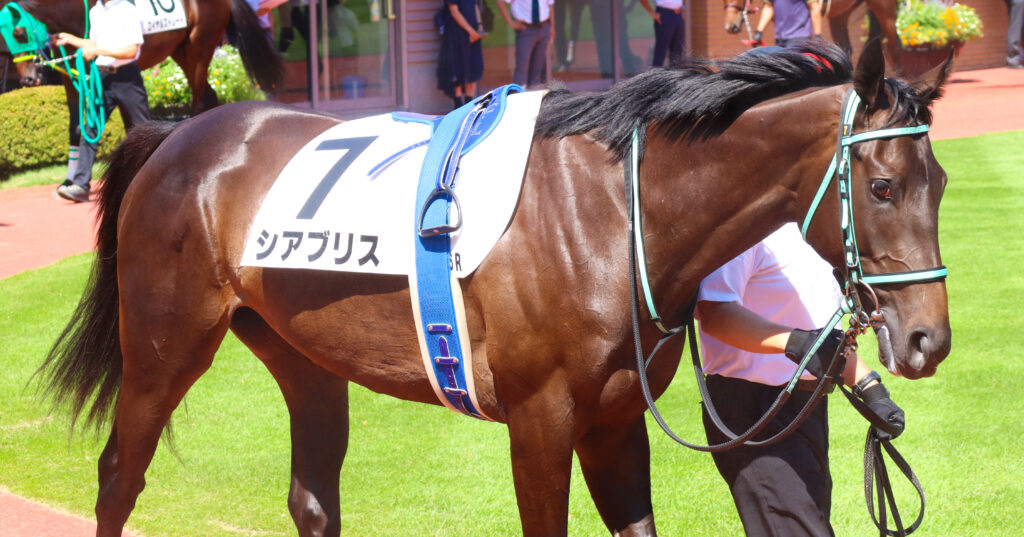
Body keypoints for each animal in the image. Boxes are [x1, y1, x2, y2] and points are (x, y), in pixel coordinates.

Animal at [5, 0, 281, 114]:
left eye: (18, 33)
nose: (27, 79)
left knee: (199, 97)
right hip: (180, 51)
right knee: (209, 96)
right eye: (3, 36)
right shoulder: (73, 74)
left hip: (200, 47)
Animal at [40, 39, 952, 537]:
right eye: (881, 186)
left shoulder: (614, 420)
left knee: (311, 498)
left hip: (304, 355)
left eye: (938, 181)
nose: (926, 339)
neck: (616, 216)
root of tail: (177, 135)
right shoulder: (540, 422)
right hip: (163, 346)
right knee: (118, 475)